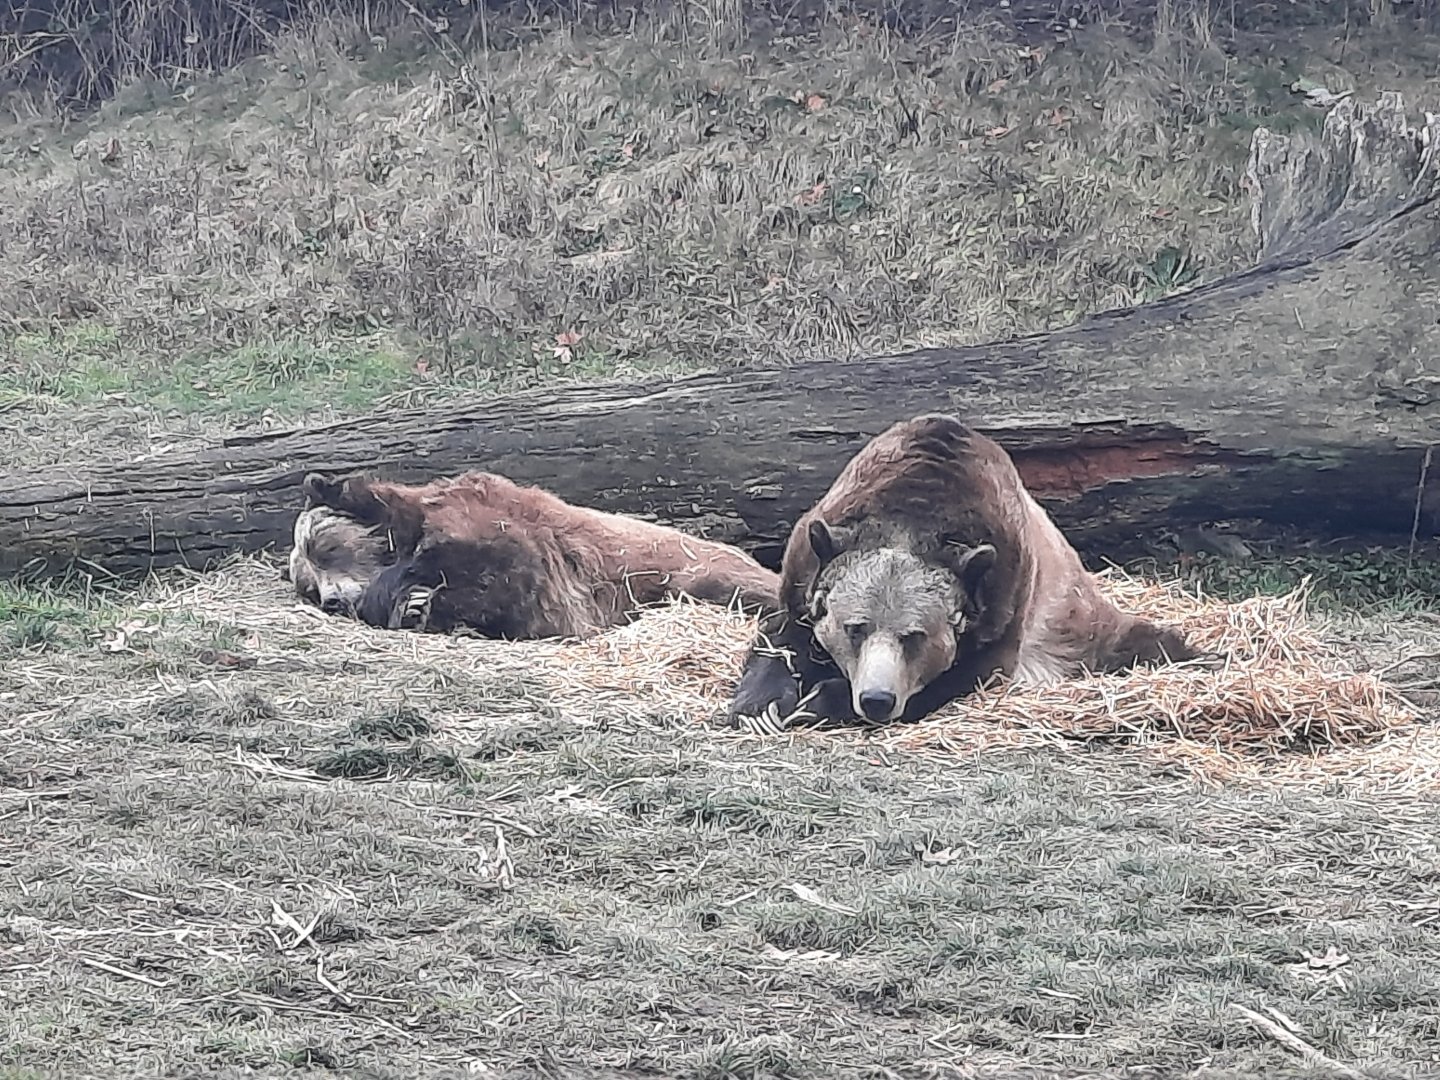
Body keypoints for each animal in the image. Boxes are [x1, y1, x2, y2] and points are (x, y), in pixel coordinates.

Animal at [284, 468, 781, 640]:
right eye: (308, 586)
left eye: (325, 547)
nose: (331, 600)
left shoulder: (511, 536)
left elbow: (498, 572)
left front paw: (408, 600)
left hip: (696, 569)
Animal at [726, 413, 1199, 728]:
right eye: (855, 628)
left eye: (914, 636)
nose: (877, 698)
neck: (910, 519)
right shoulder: (808, 562)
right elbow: (780, 637)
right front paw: (762, 705)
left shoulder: (1003, 595)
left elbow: (956, 678)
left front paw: (818, 702)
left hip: (1079, 623)